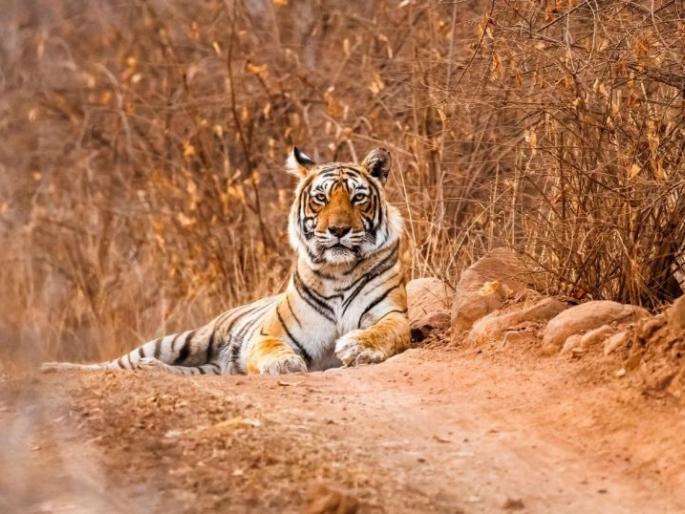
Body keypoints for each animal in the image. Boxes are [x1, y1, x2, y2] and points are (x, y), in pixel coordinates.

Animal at [42, 147, 410, 375]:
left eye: (357, 198)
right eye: (321, 198)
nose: (338, 230)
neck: (339, 270)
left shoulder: (391, 314)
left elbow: (388, 332)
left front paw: (358, 348)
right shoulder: (270, 333)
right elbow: (272, 349)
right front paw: (284, 364)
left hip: (208, 367)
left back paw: (153, 372)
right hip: (181, 339)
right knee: (114, 364)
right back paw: (55, 368)